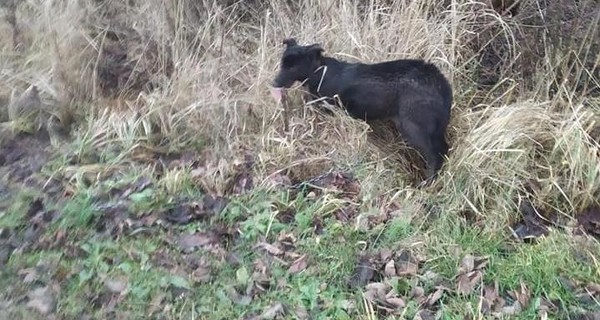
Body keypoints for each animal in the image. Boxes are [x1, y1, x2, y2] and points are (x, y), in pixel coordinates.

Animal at [274, 37, 452, 181]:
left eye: (292, 67)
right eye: (282, 64)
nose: (273, 83)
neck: (319, 72)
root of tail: (441, 83)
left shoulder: (330, 112)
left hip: (413, 126)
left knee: (435, 155)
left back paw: (428, 183)